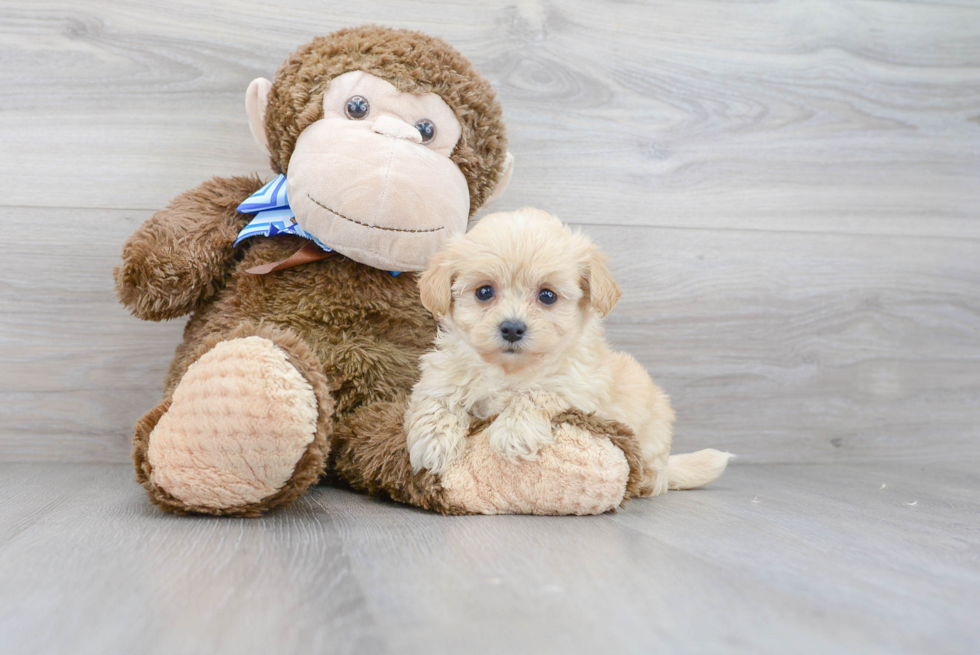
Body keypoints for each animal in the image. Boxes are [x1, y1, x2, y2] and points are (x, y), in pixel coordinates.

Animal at [402, 208, 732, 494]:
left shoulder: (577, 386)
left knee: (656, 475)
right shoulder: (441, 376)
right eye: (484, 292)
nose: (512, 328)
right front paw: (433, 443)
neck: (509, 370)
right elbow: (436, 401)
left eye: (547, 296)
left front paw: (513, 433)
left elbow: (537, 393)